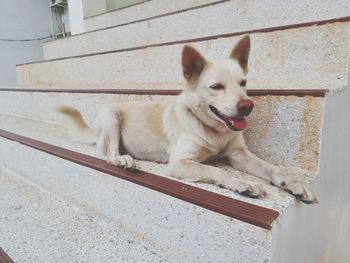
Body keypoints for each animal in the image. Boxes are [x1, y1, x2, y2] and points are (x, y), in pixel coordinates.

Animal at [59, 35, 318, 204]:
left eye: (243, 83)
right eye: (216, 87)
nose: (247, 107)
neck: (214, 131)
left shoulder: (239, 155)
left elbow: (271, 168)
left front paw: (292, 183)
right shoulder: (180, 163)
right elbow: (216, 171)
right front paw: (242, 184)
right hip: (111, 115)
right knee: (108, 154)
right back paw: (123, 159)